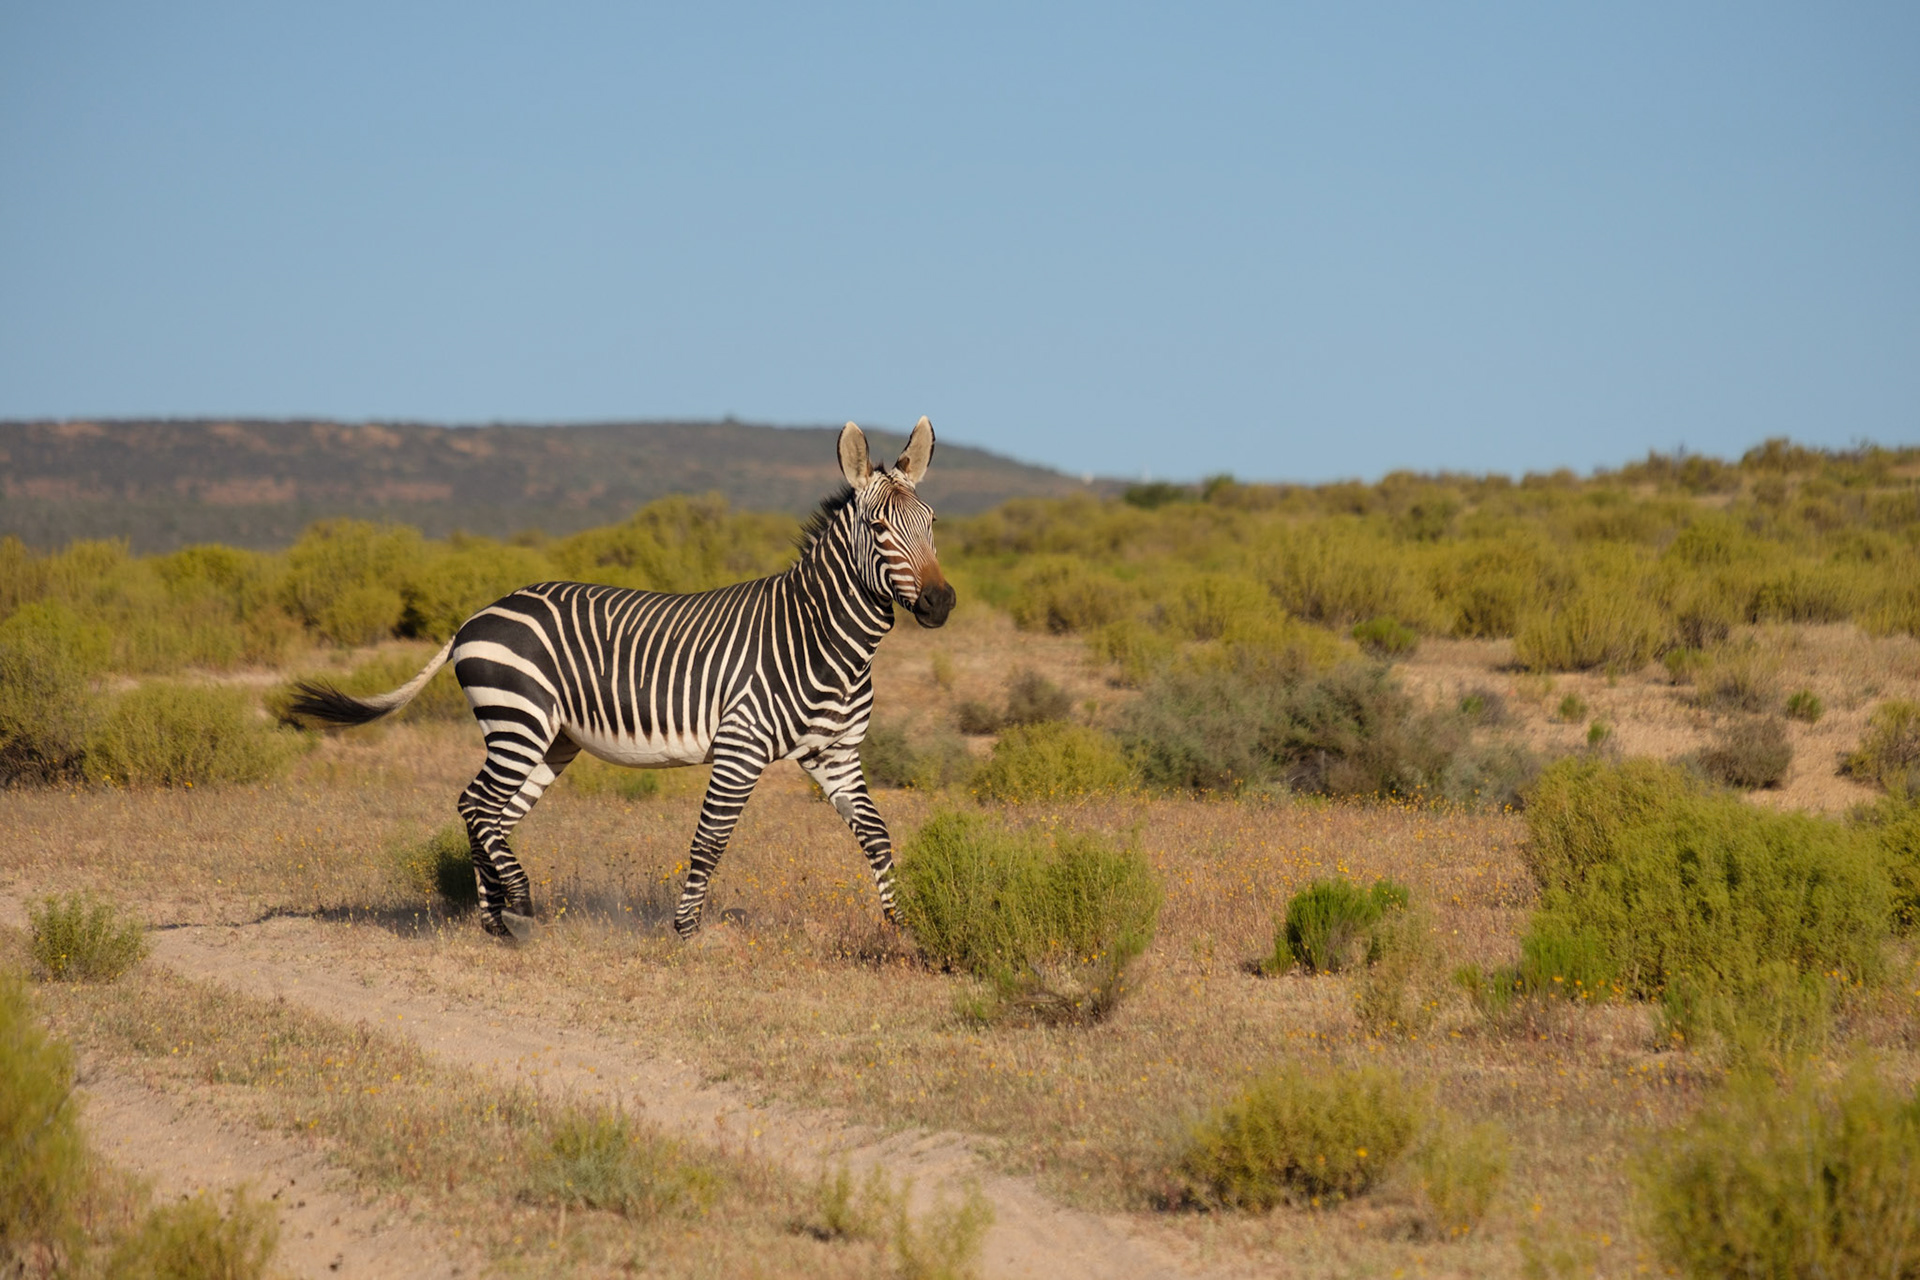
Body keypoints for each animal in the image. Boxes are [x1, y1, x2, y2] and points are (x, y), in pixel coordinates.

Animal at [290, 418, 956, 939]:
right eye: (879, 530)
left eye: (931, 523)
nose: (941, 603)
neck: (825, 642)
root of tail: (472, 618)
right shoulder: (740, 746)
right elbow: (710, 840)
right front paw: (685, 932)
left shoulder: (835, 753)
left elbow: (877, 834)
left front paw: (902, 928)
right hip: (518, 722)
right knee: (475, 804)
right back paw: (518, 908)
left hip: (550, 740)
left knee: (495, 815)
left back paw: (496, 921)